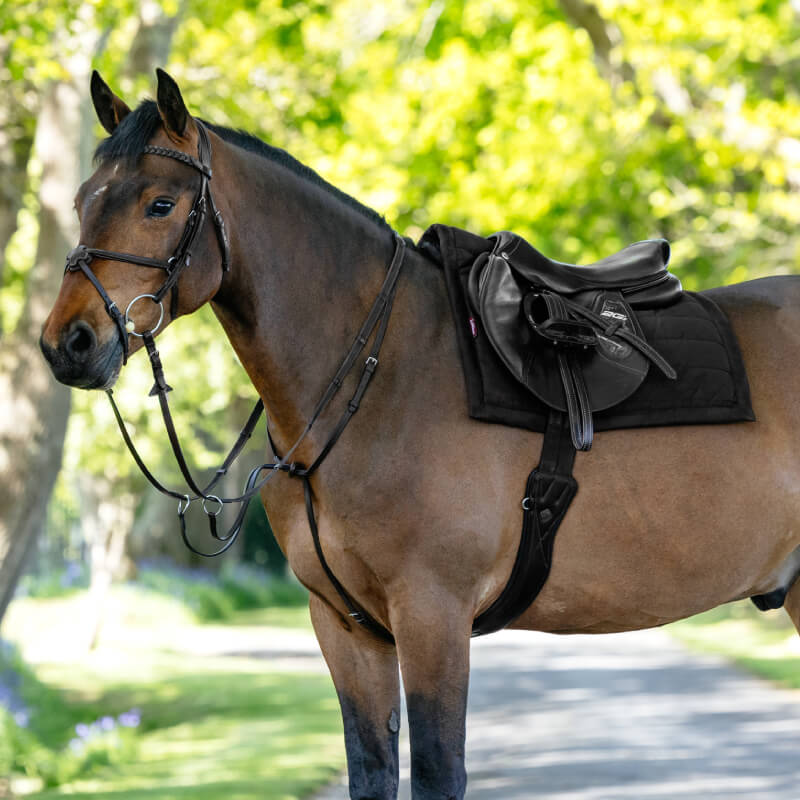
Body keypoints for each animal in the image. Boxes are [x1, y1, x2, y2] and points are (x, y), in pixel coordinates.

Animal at [40, 69, 800, 800]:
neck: (378, 376)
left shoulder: (432, 614)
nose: (68, 344)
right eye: (81, 201)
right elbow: (371, 769)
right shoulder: (346, 626)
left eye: (160, 205)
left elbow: (437, 771)